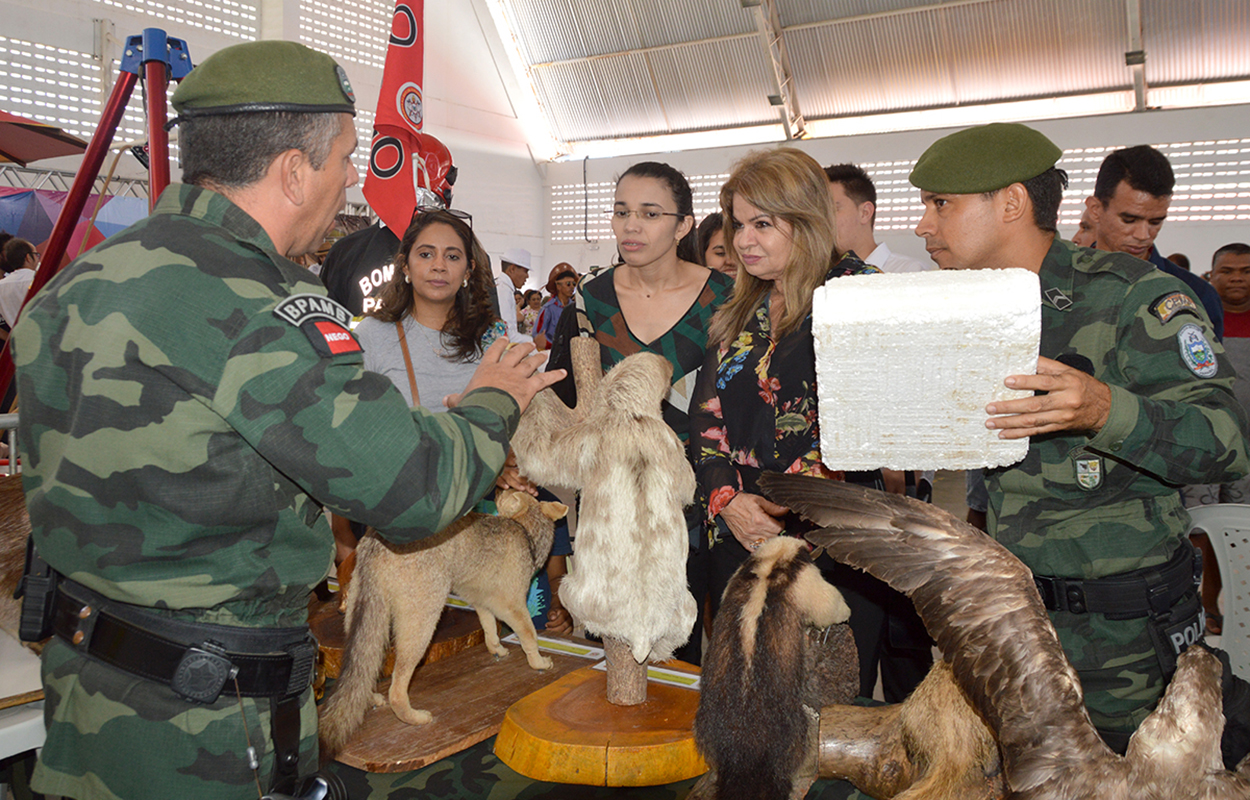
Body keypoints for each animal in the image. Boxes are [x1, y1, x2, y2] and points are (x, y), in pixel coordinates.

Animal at [317, 487, 567, 755]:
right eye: (510, 490)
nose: (499, 488)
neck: (525, 533)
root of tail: (375, 540)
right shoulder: (513, 606)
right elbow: (530, 636)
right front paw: (539, 662)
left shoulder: (481, 601)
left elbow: (490, 630)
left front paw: (497, 649)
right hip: (422, 626)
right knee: (396, 689)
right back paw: (415, 718)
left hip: (368, 624)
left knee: (361, 670)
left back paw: (369, 698)